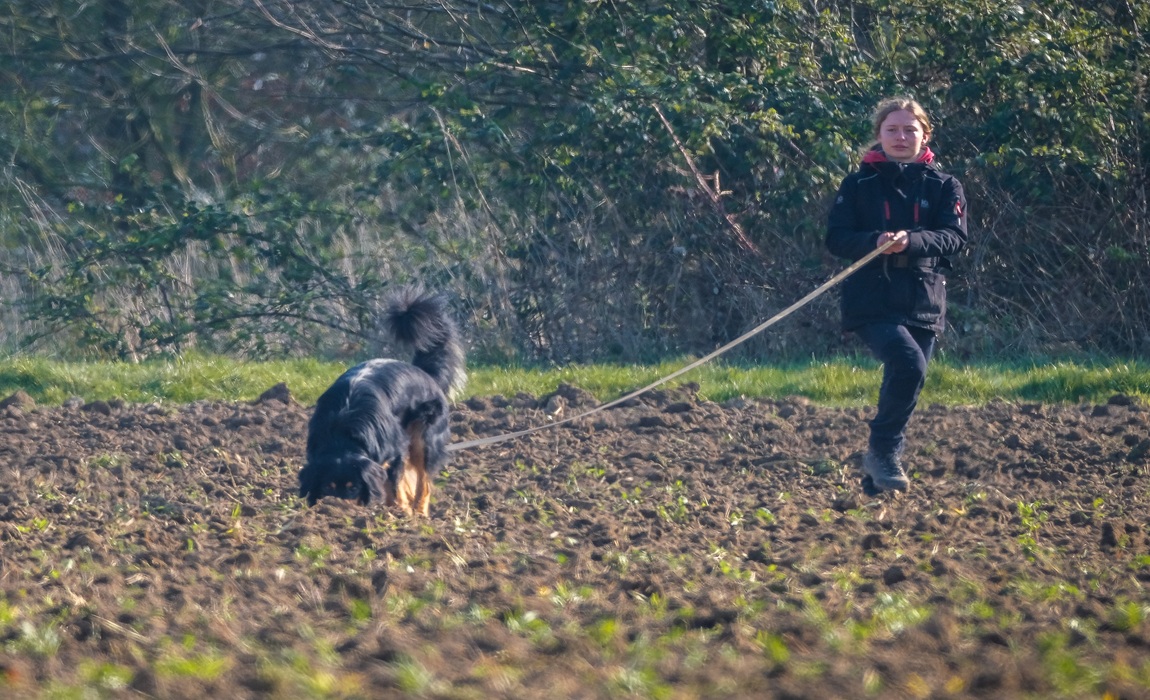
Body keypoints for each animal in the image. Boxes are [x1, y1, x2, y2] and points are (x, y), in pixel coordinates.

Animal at [298, 288, 466, 516]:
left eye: (354, 487)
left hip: (426, 438)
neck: (342, 435)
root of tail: (423, 372)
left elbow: (393, 485)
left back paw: (419, 513)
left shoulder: (395, 450)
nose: (339, 509)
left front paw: (400, 512)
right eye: (327, 487)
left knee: (424, 481)